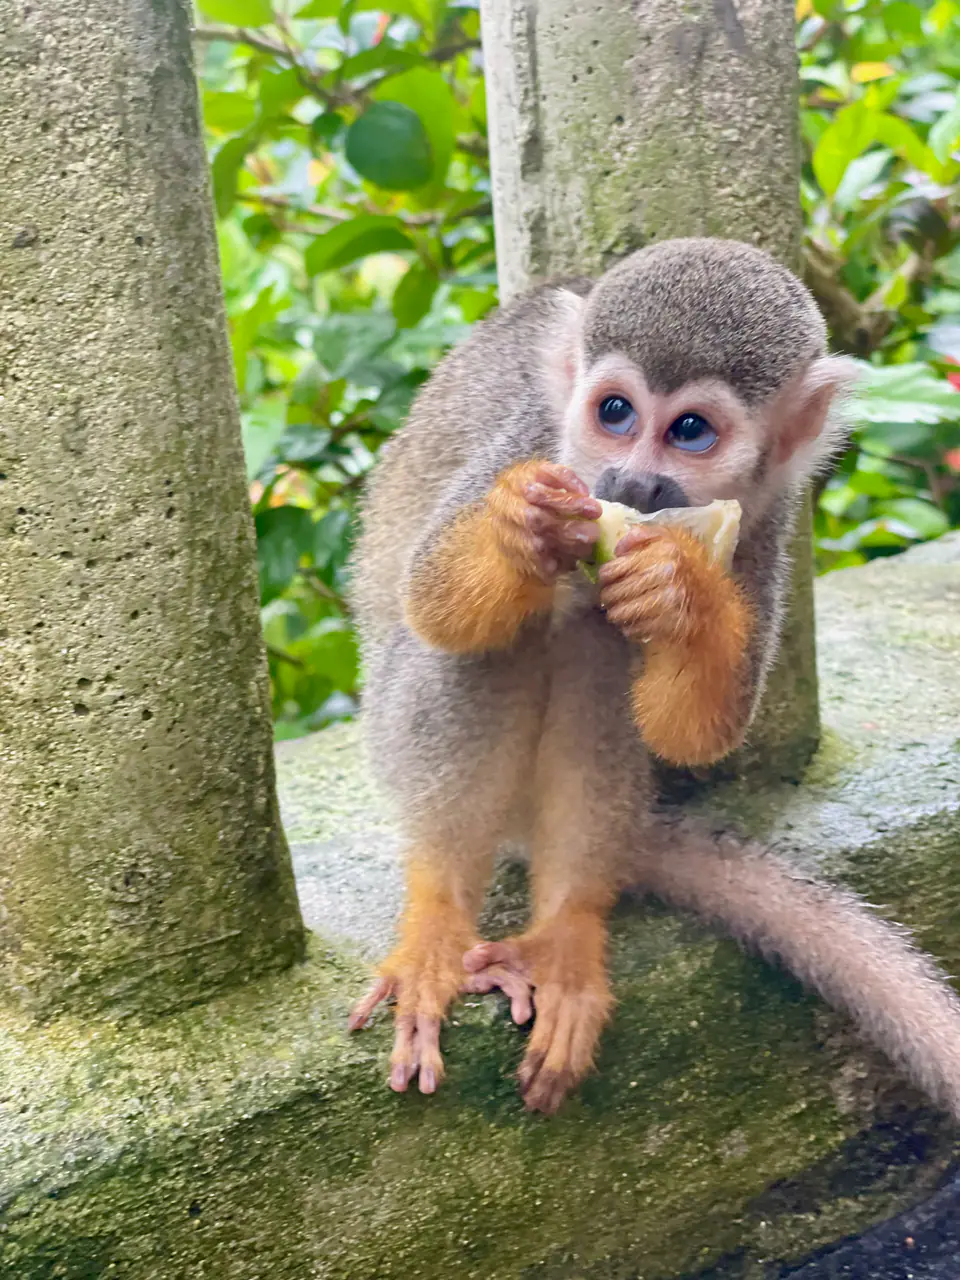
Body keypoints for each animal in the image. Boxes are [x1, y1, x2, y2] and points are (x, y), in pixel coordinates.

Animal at [345, 236, 960, 1118]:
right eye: (615, 414)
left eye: (691, 430)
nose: (633, 485)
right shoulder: (533, 436)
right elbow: (433, 601)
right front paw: (519, 530)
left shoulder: (772, 513)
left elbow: (700, 727)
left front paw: (682, 594)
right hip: (386, 731)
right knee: (500, 645)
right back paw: (438, 916)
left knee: (598, 654)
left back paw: (566, 930)